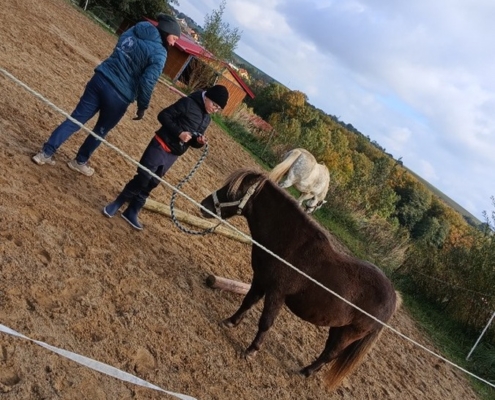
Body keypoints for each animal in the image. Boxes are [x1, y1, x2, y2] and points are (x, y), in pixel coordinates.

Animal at [200, 170, 402, 390]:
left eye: (232, 191)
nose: (204, 206)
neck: (291, 245)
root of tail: (393, 297)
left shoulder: (277, 292)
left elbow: (266, 322)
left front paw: (251, 350)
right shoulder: (261, 280)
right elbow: (247, 302)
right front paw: (230, 322)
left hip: (350, 333)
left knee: (331, 354)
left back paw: (305, 371)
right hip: (338, 327)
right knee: (328, 350)